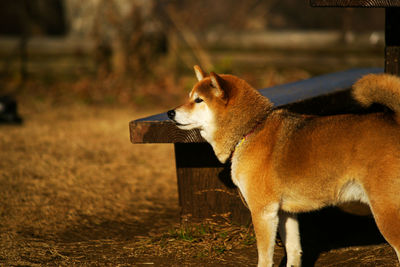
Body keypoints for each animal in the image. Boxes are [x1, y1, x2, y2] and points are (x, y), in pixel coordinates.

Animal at [166, 65, 400, 267]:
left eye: (198, 100)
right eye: (189, 97)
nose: (170, 113)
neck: (250, 131)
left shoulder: (263, 212)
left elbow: (264, 257)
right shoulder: (286, 213)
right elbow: (294, 250)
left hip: (385, 212)